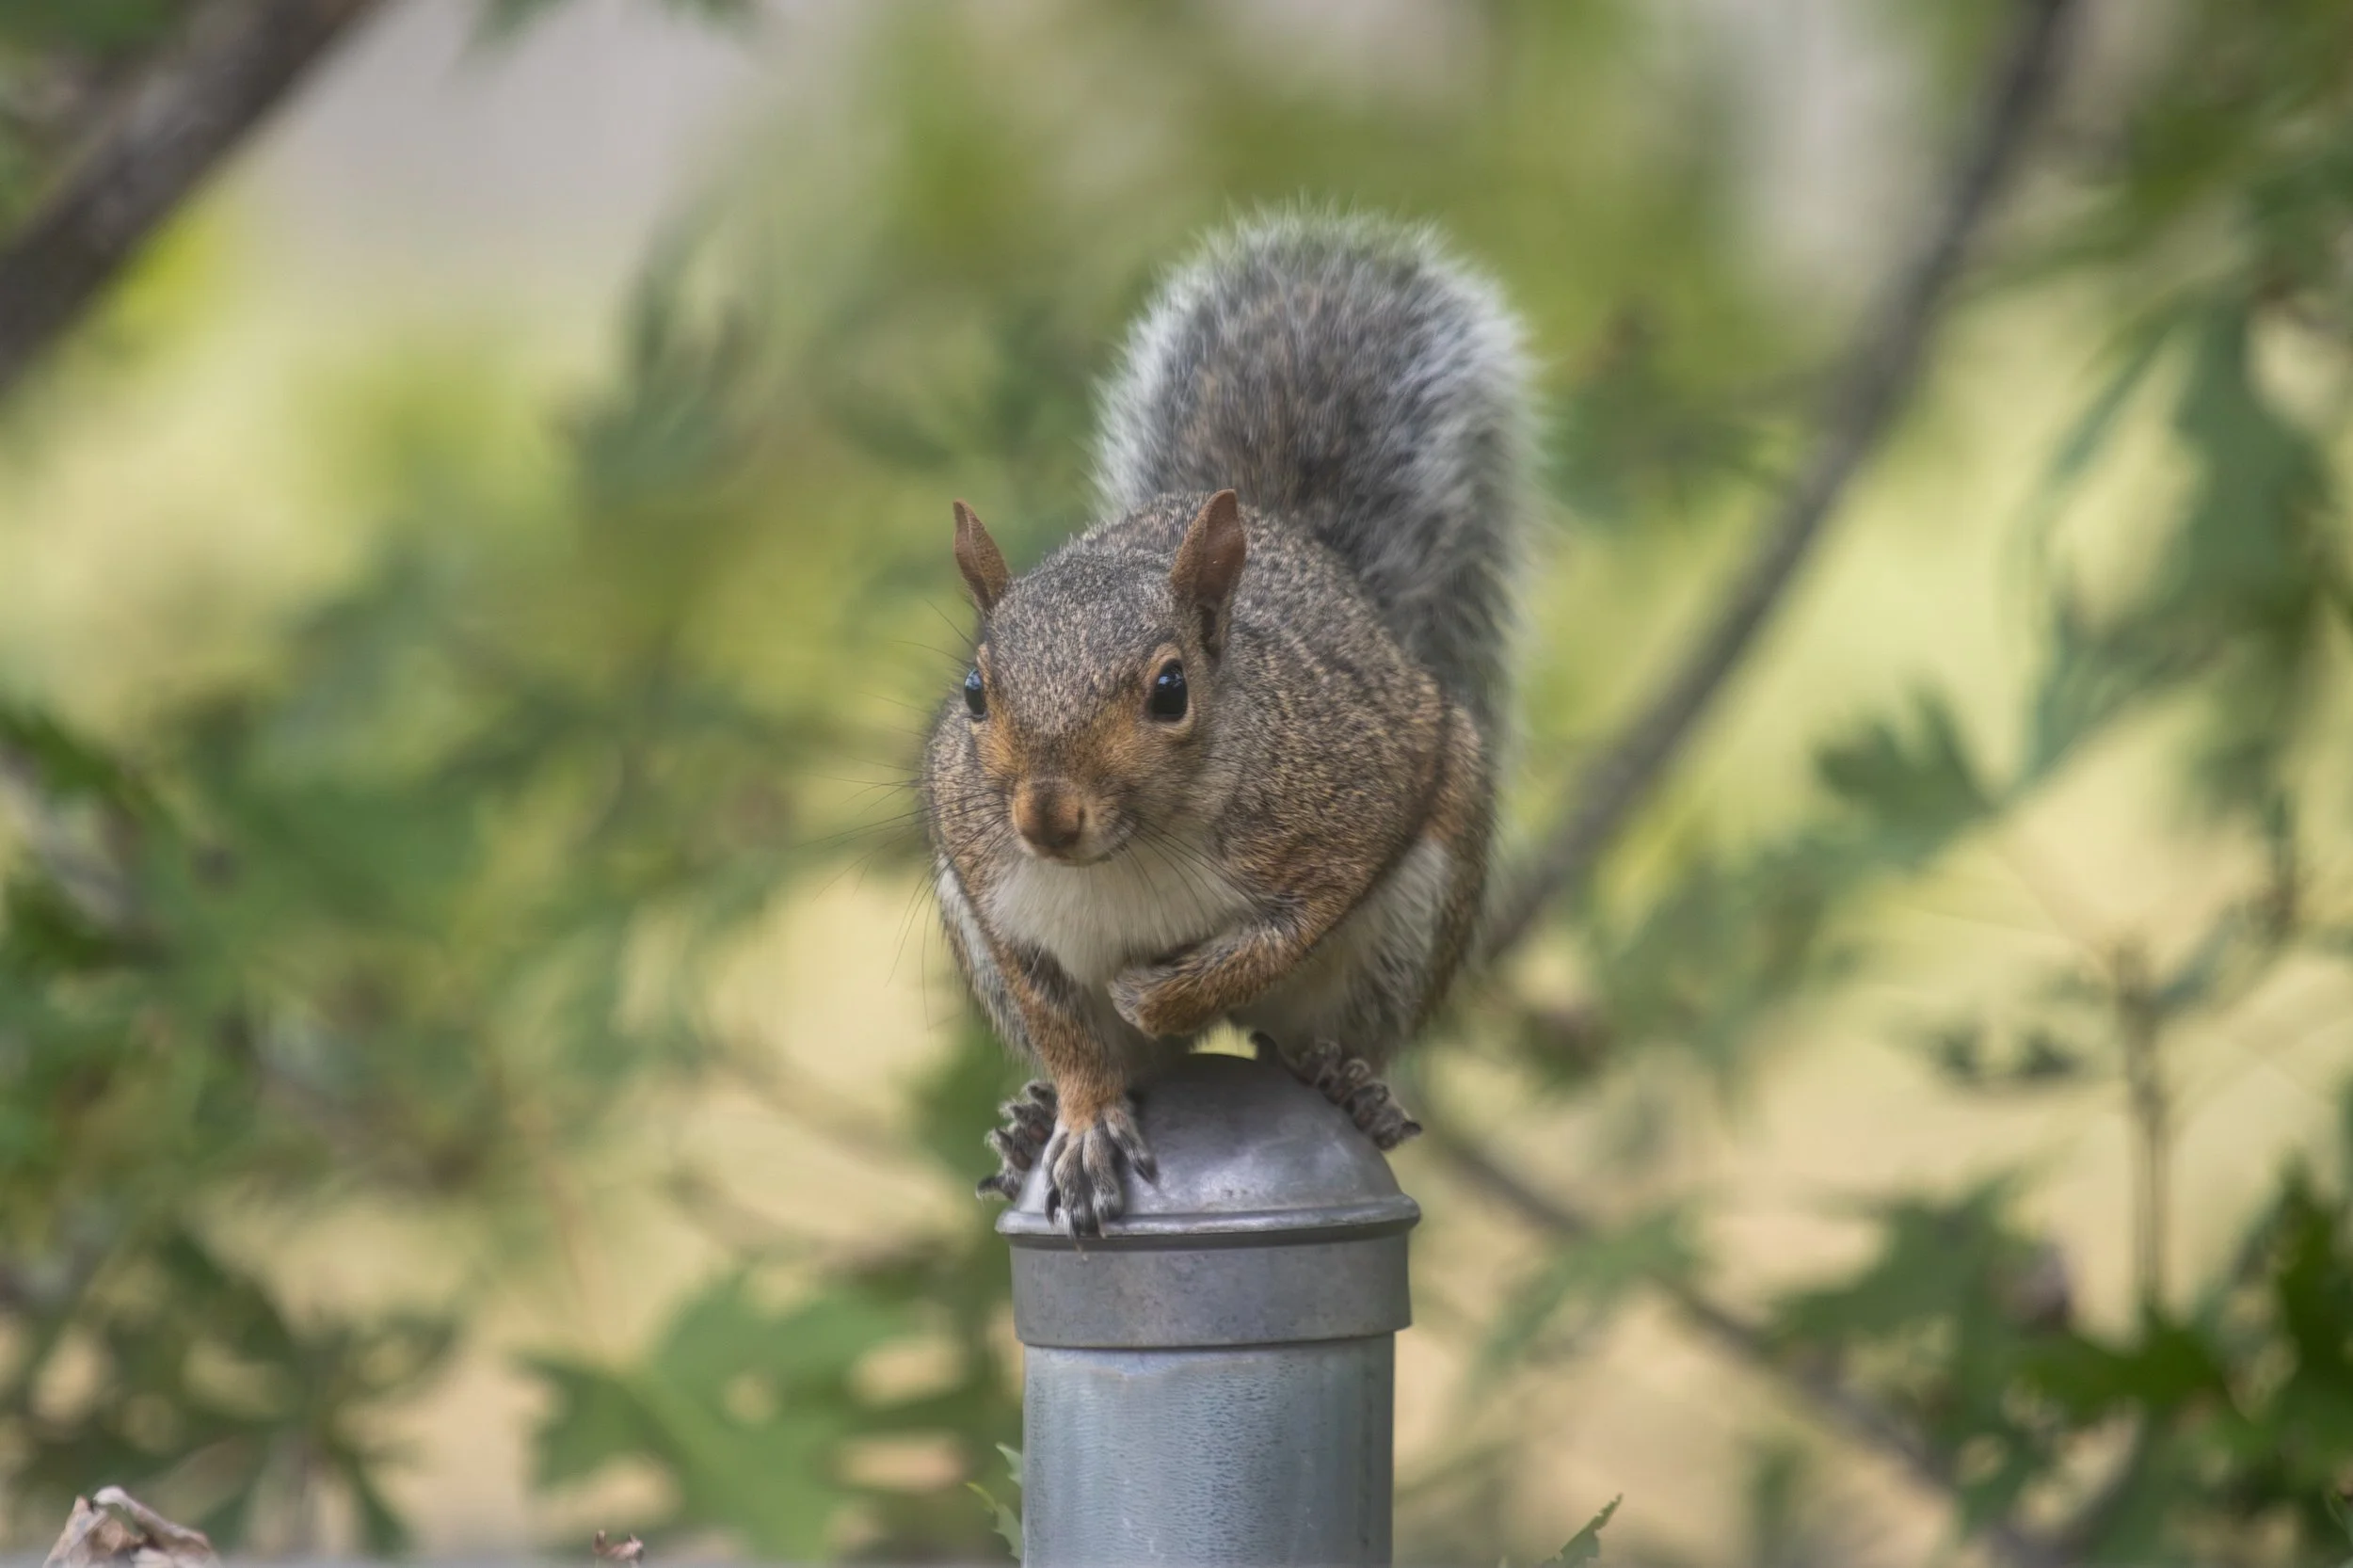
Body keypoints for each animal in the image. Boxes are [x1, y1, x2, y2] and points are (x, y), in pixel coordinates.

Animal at [922, 211, 1532, 1235]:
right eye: (973, 690)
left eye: (1171, 691)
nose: (1046, 817)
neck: (1125, 859)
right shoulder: (988, 883)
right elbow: (1060, 1023)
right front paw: (1081, 1114)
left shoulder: (1340, 812)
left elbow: (1273, 942)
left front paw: (1160, 993)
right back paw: (1031, 1121)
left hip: (1413, 919)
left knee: (1311, 1037)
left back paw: (1345, 1076)